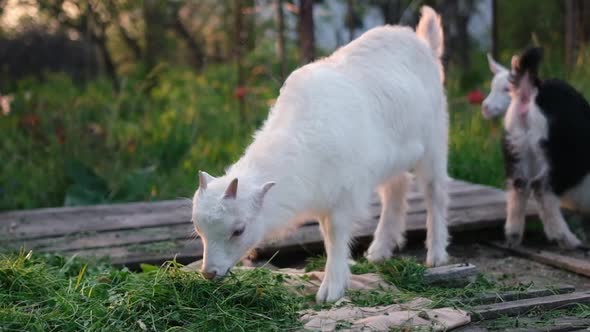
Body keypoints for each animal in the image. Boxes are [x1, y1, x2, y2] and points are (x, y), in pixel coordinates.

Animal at [192, 6, 450, 304]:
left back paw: (436, 255)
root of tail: (424, 43)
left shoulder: (344, 193)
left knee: (435, 191)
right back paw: (379, 251)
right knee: (397, 186)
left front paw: (331, 290)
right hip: (392, 159)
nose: (209, 273)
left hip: (434, 140)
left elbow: (335, 234)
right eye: (199, 230)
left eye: (238, 230)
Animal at [504, 47, 590, 249]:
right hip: (563, 159)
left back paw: (513, 236)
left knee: (518, 186)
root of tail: (533, 90)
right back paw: (566, 239)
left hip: (515, 145)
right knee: (542, 189)